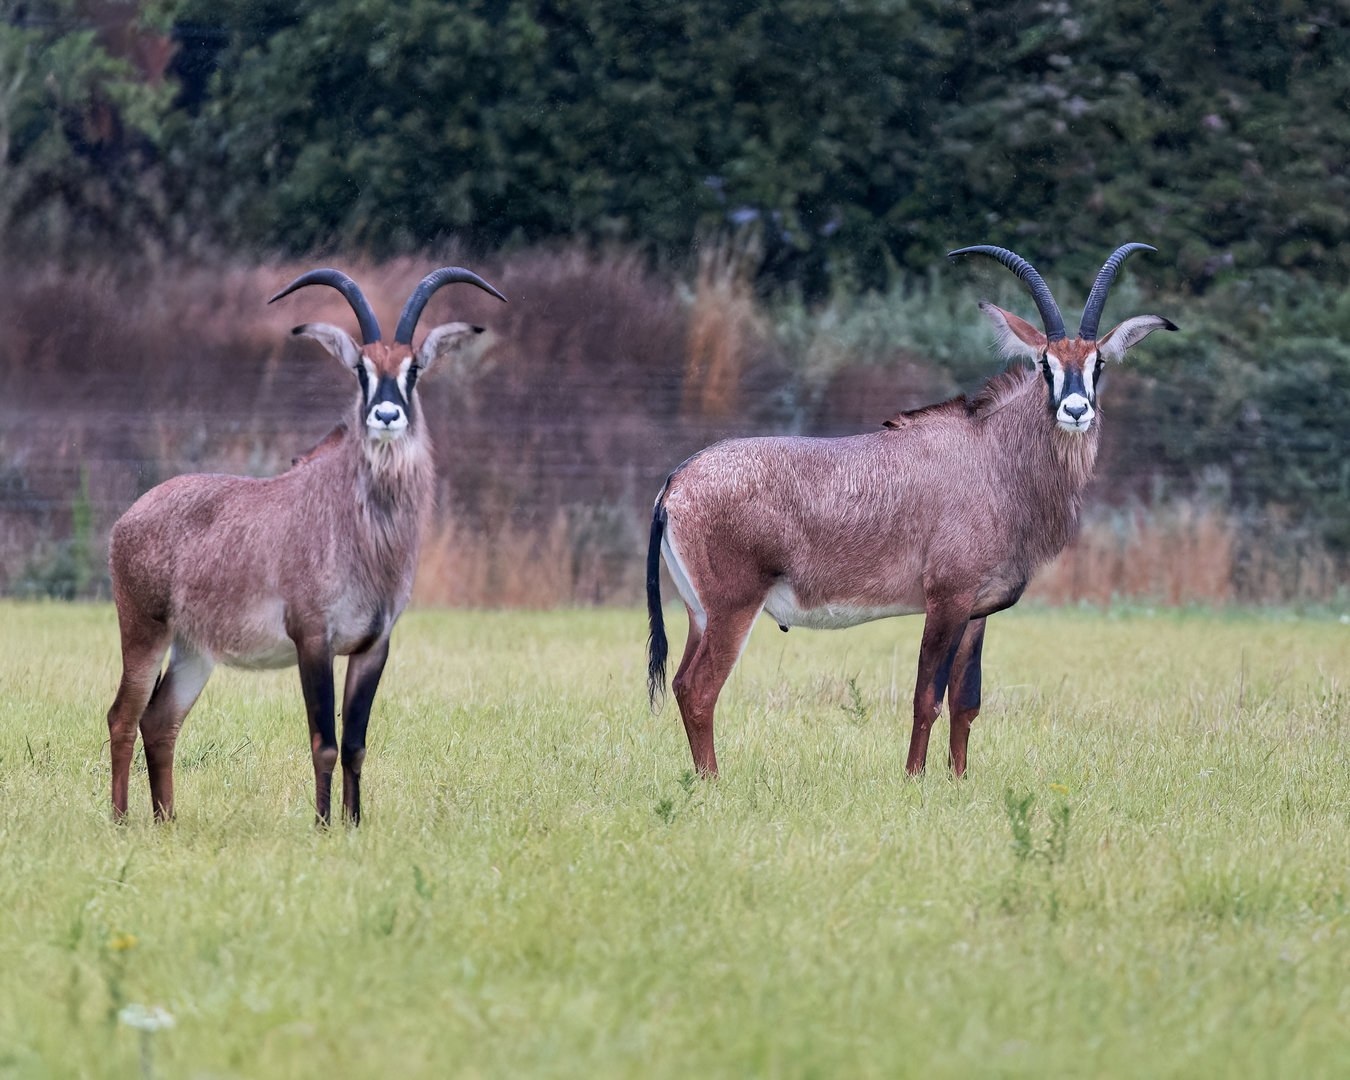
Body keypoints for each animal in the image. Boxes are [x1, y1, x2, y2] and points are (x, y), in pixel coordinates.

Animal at [106, 266, 506, 824]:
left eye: (413, 369)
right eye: (361, 368)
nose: (386, 415)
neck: (362, 529)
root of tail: (128, 519)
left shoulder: (373, 646)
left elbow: (356, 744)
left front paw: (354, 825)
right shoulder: (312, 640)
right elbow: (325, 742)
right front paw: (321, 827)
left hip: (193, 650)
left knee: (160, 720)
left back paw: (167, 822)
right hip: (144, 631)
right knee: (123, 716)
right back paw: (122, 822)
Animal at [646, 244, 1176, 778]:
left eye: (1097, 362)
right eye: (1045, 363)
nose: (1075, 410)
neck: (992, 456)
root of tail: (676, 482)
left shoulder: (976, 612)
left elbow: (966, 702)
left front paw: (959, 780)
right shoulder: (946, 600)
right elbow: (927, 698)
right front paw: (914, 779)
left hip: (699, 613)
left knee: (681, 683)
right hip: (734, 607)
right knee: (700, 689)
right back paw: (713, 782)